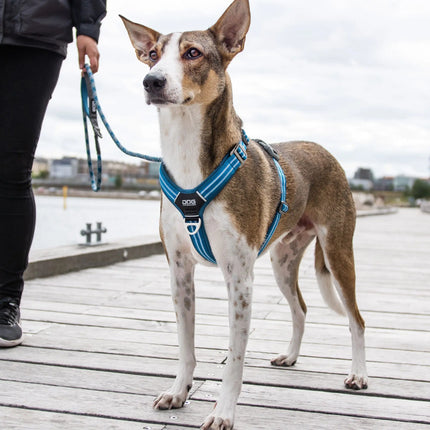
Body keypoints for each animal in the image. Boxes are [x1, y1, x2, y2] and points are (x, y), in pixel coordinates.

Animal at [120, 1, 366, 428]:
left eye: (193, 53)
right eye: (152, 54)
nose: (151, 81)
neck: (187, 157)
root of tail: (323, 148)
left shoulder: (239, 278)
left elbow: (235, 358)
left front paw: (223, 412)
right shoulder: (179, 271)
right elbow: (185, 346)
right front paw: (179, 392)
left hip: (338, 252)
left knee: (356, 319)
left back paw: (359, 374)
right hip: (283, 261)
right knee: (300, 309)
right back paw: (291, 356)